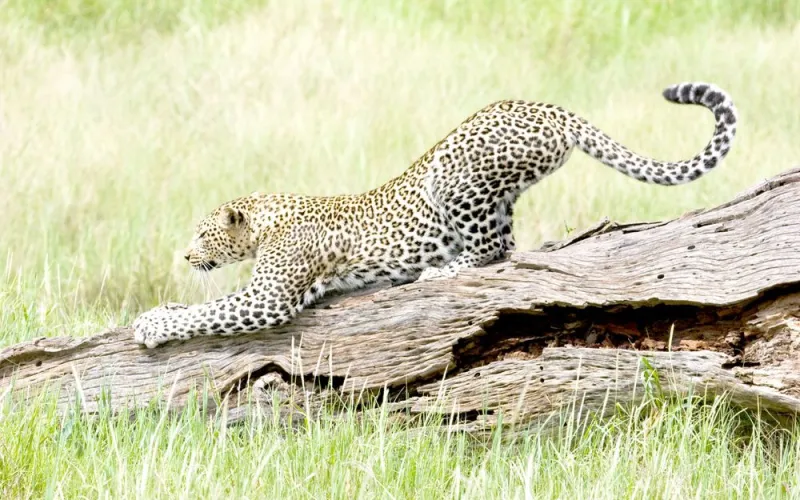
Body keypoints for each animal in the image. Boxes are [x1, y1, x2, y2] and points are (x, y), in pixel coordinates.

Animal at [133, 82, 737, 348]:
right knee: (505, 245)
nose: (186, 255)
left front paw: (152, 326)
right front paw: (163, 308)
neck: (269, 218)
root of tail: (548, 107)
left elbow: (210, 311)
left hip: (451, 176)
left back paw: (435, 272)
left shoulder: (271, 298)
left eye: (202, 232)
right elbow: (204, 305)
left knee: (491, 250)